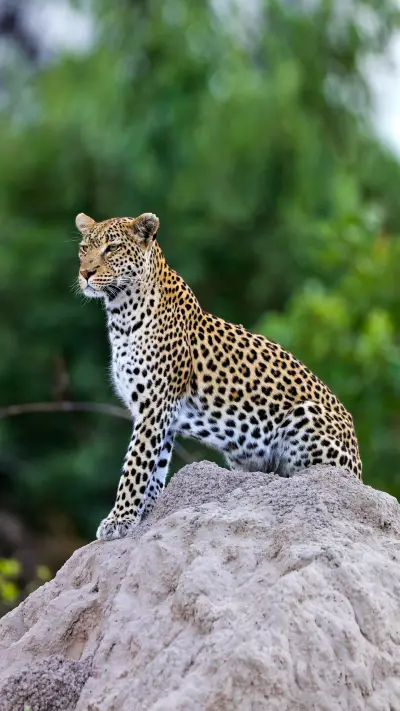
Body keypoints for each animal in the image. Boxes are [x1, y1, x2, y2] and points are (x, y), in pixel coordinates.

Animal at [76, 211, 362, 541]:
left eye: (112, 248)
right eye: (84, 248)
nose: (85, 273)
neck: (121, 312)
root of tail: (360, 471)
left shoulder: (154, 406)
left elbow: (136, 465)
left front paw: (119, 519)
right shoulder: (162, 414)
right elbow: (156, 465)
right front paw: (147, 511)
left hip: (306, 416)